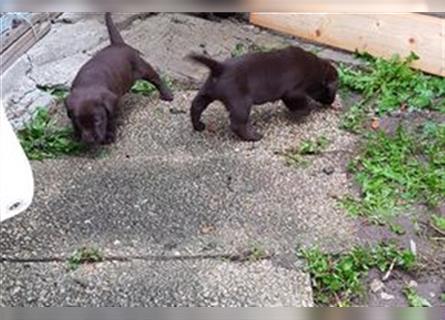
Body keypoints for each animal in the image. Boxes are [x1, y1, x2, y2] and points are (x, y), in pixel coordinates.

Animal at [66, 12, 173, 145]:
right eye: (79, 122)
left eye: (97, 120)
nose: (90, 140)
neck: (89, 83)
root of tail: (118, 43)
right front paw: (76, 134)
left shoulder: (113, 106)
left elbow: (111, 120)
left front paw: (109, 136)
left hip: (142, 67)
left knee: (156, 78)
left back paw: (167, 94)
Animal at [187, 45, 336, 141]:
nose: (332, 103)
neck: (318, 70)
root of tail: (220, 68)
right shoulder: (293, 93)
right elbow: (303, 105)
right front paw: (300, 113)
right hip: (241, 103)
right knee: (237, 124)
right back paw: (254, 137)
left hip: (207, 92)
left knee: (196, 106)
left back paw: (198, 126)